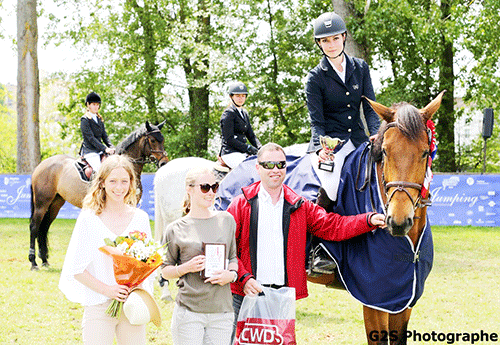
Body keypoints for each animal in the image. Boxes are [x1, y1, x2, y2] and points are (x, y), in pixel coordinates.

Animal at [29, 120, 170, 268]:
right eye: (153, 140)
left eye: (163, 140)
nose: (164, 163)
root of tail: (41, 165)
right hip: (42, 203)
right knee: (35, 227)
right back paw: (33, 262)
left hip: (55, 203)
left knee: (44, 227)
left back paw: (44, 260)